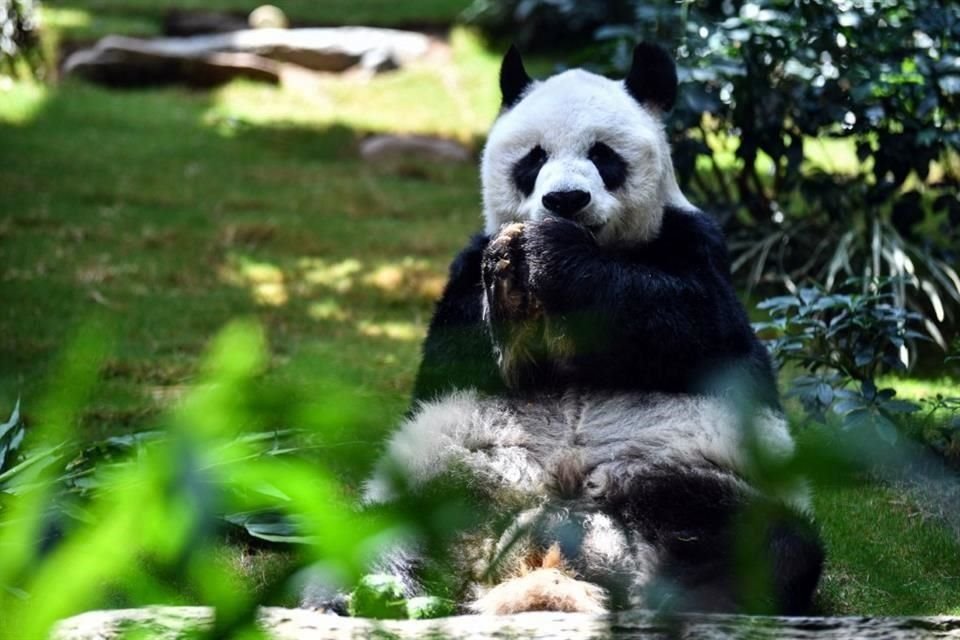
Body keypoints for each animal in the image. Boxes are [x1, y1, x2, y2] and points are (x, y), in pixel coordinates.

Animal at [310, 42, 824, 616]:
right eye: (534, 159)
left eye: (604, 155)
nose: (566, 201)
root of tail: (545, 551)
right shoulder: (464, 273)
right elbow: (464, 349)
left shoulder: (696, 245)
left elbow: (693, 323)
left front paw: (552, 256)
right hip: (443, 484)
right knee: (368, 537)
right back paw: (366, 596)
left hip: (688, 478)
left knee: (766, 545)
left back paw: (684, 600)